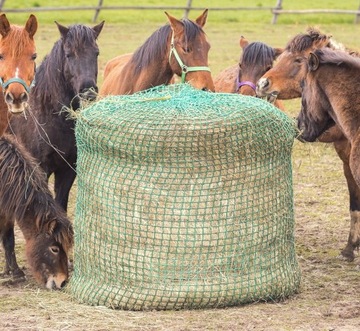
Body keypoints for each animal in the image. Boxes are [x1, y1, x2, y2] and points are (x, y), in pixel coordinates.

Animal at [0, 134, 74, 290]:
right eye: (54, 249)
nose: (63, 282)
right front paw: (16, 273)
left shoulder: (6, 211)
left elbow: (7, 239)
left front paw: (12, 271)